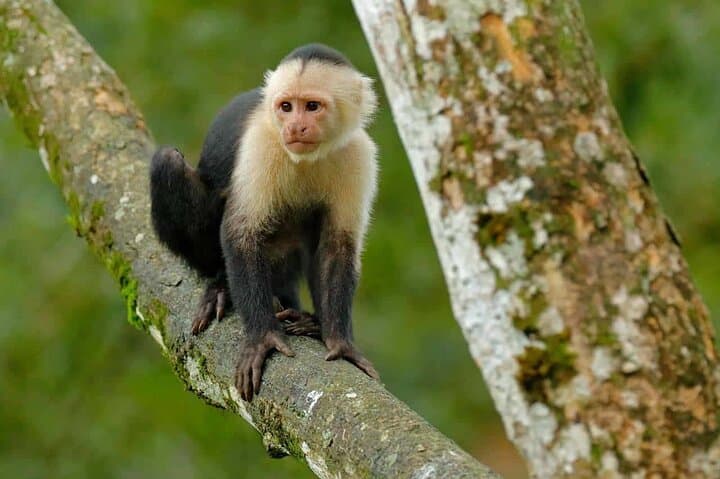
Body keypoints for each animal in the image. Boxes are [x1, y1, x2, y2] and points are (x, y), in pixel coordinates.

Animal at [149, 44, 379, 401]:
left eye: (312, 106)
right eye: (286, 107)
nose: (295, 127)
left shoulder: (358, 154)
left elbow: (337, 247)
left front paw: (340, 342)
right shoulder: (261, 144)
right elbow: (240, 234)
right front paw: (262, 338)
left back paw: (309, 320)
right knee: (168, 162)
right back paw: (220, 285)